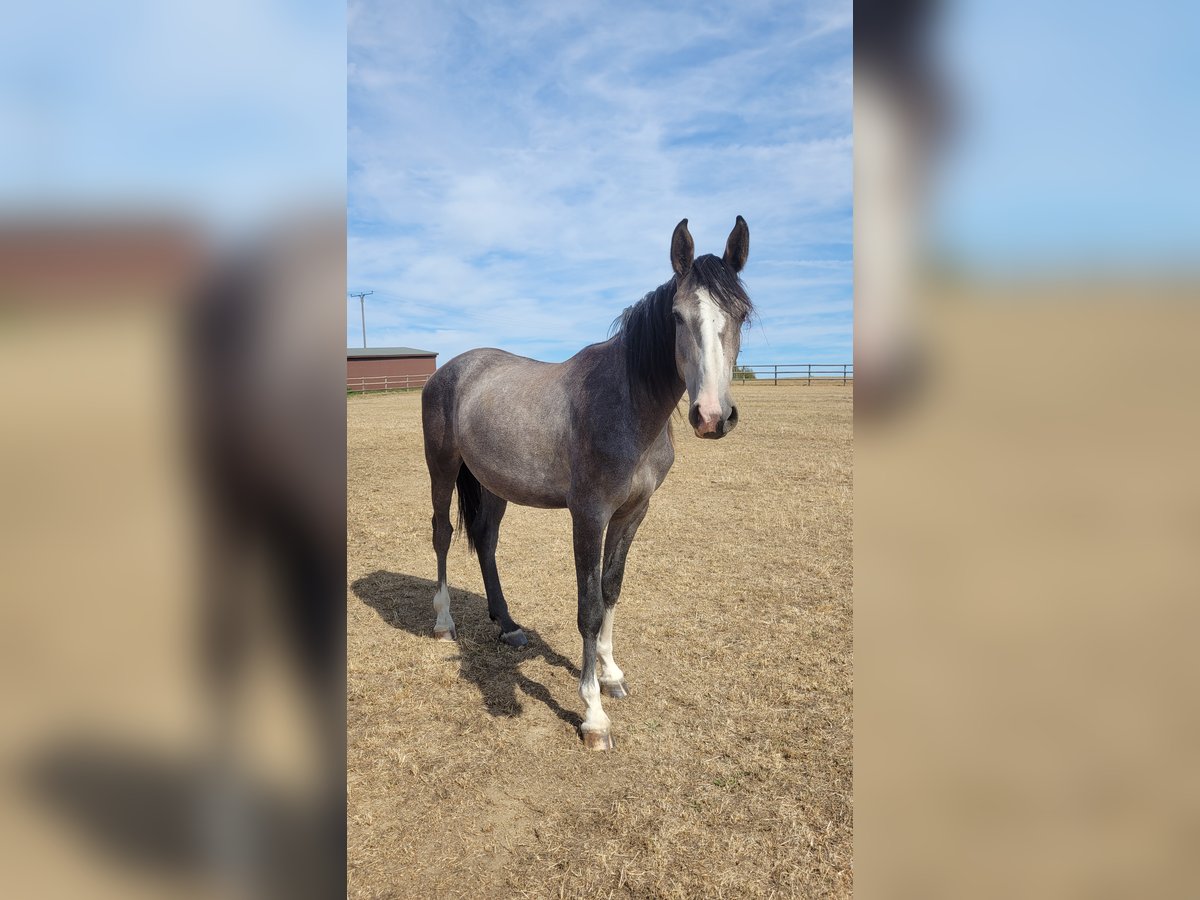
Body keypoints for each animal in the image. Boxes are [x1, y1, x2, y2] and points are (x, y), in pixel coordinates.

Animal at [422, 214, 748, 748]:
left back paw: (507, 625)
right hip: (443, 468)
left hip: (492, 484)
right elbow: (589, 605)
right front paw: (594, 713)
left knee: (486, 542)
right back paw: (444, 622)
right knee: (443, 535)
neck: (629, 404)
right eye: (678, 317)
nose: (711, 416)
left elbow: (612, 589)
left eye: (741, 313)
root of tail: (450, 369)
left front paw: (612, 674)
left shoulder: (633, 512)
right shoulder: (589, 516)